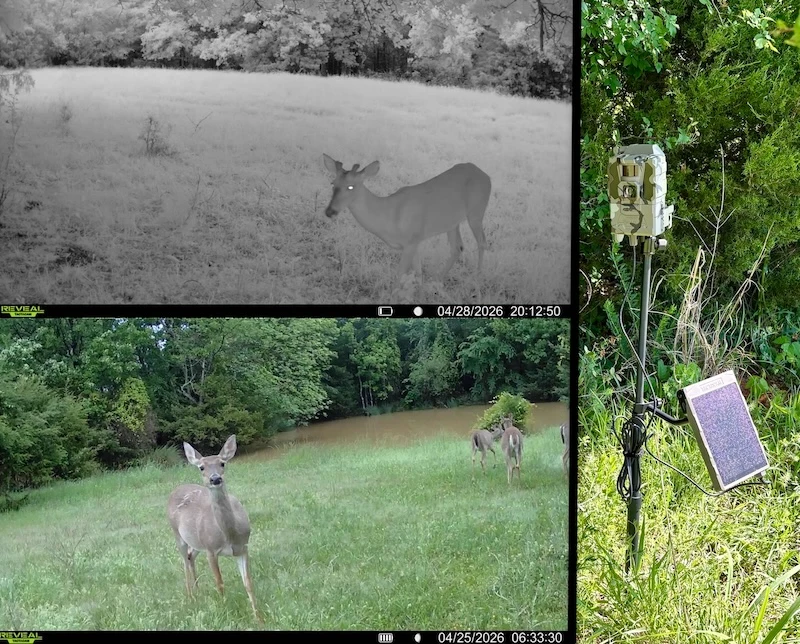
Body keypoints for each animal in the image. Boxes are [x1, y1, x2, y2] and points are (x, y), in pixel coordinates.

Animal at [167, 434, 262, 623]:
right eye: (202, 467)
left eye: (222, 463)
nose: (215, 479)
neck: (229, 535)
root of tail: (176, 489)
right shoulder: (211, 550)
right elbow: (220, 583)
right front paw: (226, 612)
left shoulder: (243, 547)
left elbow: (248, 582)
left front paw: (258, 617)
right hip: (177, 535)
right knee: (184, 561)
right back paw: (191, 597)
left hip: (196, 541)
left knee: (190, 556)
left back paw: (198, 590)